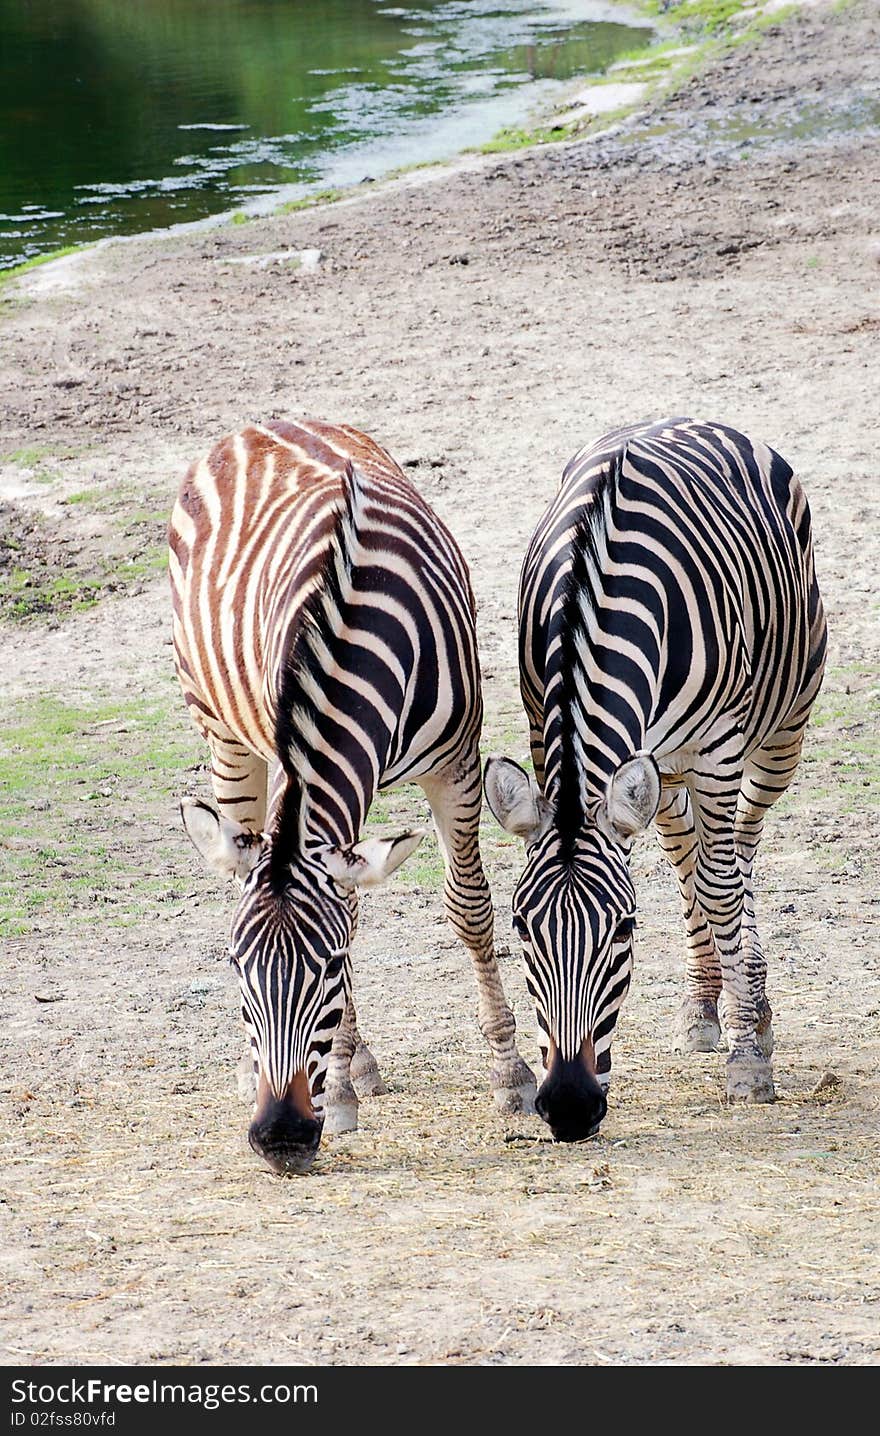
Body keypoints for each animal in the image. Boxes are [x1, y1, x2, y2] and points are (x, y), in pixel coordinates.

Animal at [166, 419, 534, 1177]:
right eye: (234, 968)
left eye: (329, 969)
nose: (280, 1138)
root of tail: (260, 423)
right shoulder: (285, 746)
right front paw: (336, 1092)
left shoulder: (456, 764)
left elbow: (470, 910)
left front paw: (511, 1073)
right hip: (224, 733)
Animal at [485, 419, 826, 1143]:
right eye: (522, 928)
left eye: (625, 929)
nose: (569, 1106)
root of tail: (696, 418)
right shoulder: (542, 726)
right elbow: (696, 876)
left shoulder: (719, 745)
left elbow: (723, 891)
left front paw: (748, 1063)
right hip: (662, 772)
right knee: (686, 853)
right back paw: (704, 1003)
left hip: (779, 730)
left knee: (738, 852)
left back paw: (752, 1003)